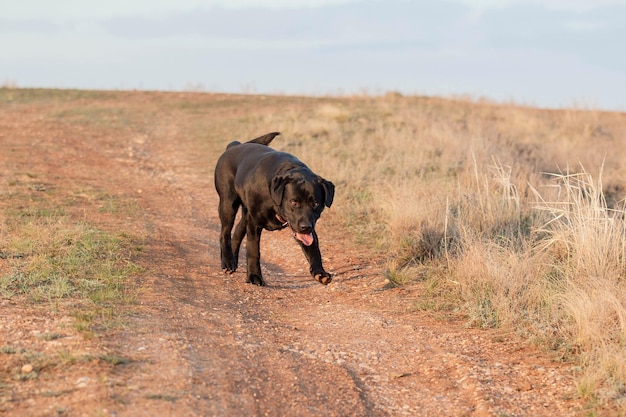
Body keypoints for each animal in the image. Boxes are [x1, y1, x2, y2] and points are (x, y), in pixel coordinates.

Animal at [213, 132, 334, 284]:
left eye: (316, 204)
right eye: (293, 202)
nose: (305, 227)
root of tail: (234, 146)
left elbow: (313, 248)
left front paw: (319, 272)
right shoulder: (254, 224)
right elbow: (253, 250)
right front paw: (254, 276)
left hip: (246, 214)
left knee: (238, 231)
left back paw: (233, 260)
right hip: (228, 204)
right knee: (225, 233)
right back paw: (228, 262)